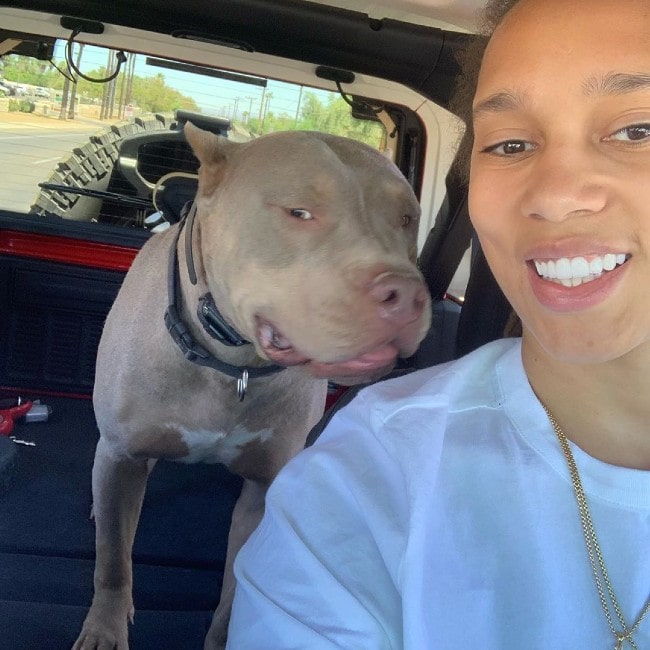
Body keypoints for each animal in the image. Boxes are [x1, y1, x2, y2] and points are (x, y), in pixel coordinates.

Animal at [72, 123, 430, 648]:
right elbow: (114, 560)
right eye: (298, 212)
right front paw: (105, 628)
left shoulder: (264, 488)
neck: (232, 366)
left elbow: (240, 585)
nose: (406, 296)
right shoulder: (121, 454)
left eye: (407, 218)